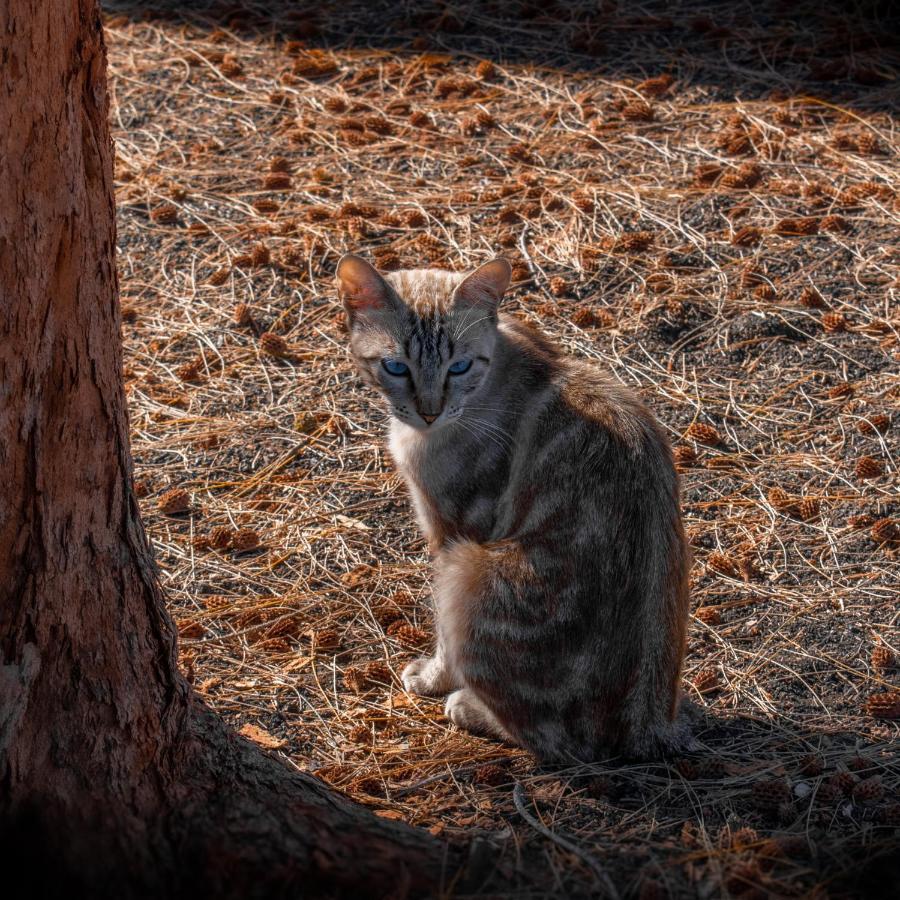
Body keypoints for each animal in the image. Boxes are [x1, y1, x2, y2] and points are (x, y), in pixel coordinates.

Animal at [334, 253, 692, 760]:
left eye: (459, 367)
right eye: (396, 368)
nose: (429, 412)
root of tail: (651, 726)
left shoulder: (454, 535)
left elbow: (442, 636)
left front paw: (431, 679)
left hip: (472, 572)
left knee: (553, 739)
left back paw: (468, 706)